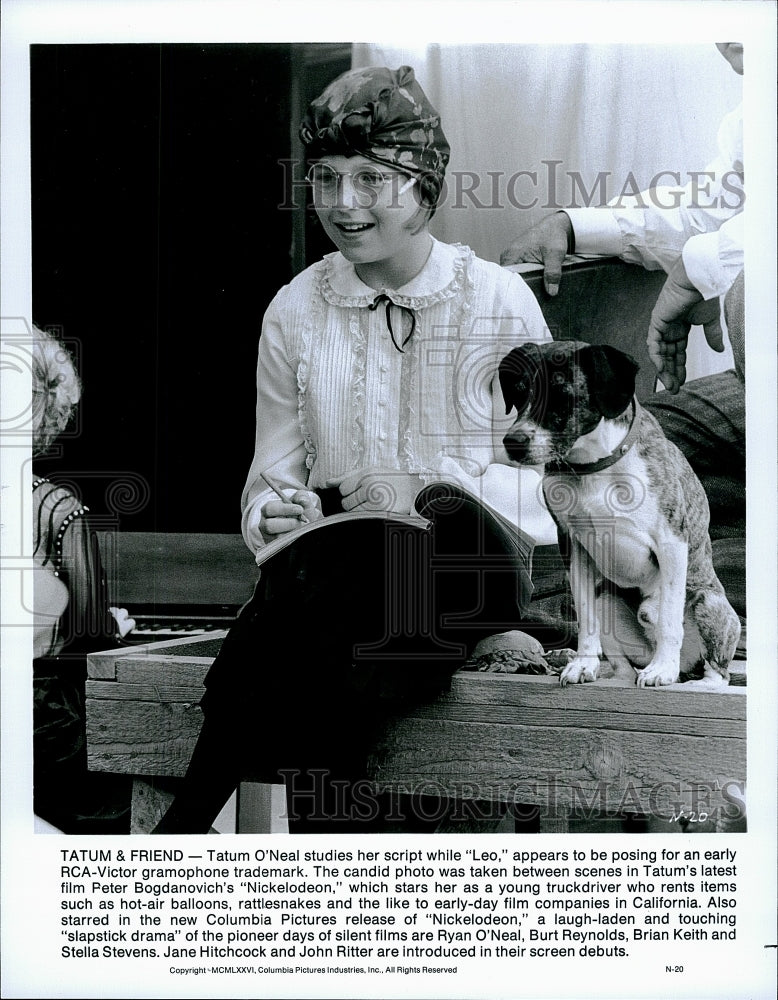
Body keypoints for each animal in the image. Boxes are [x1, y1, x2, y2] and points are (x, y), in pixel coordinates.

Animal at [498, 340, 740, 692]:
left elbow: (669, 618)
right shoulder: (574, 548)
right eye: (518, 394)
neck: (593, 466)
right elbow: (585, 619)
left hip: (709, 604)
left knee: (717, 673)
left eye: (563, 396)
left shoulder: (671, 542)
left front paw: (662, 670)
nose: (513, 442)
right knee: (623, 668)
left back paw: (684, 678)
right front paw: (582, 665)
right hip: (607, 600)